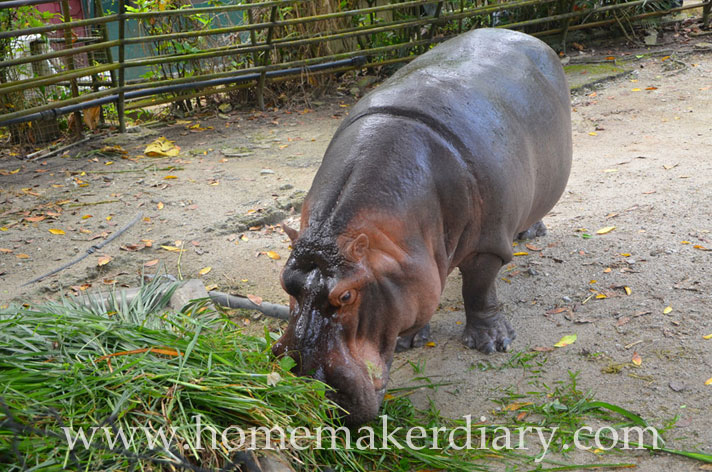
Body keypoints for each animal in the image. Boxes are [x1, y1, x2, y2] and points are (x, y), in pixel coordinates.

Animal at [273, 28, 572, 426]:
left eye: (347, 296)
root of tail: (521, 33)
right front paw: (406, 341)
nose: (308, 388)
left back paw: (530, 232)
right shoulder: (414, 266)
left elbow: (479, 290)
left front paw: (493, 343)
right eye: (285, 283)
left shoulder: (486, 245)